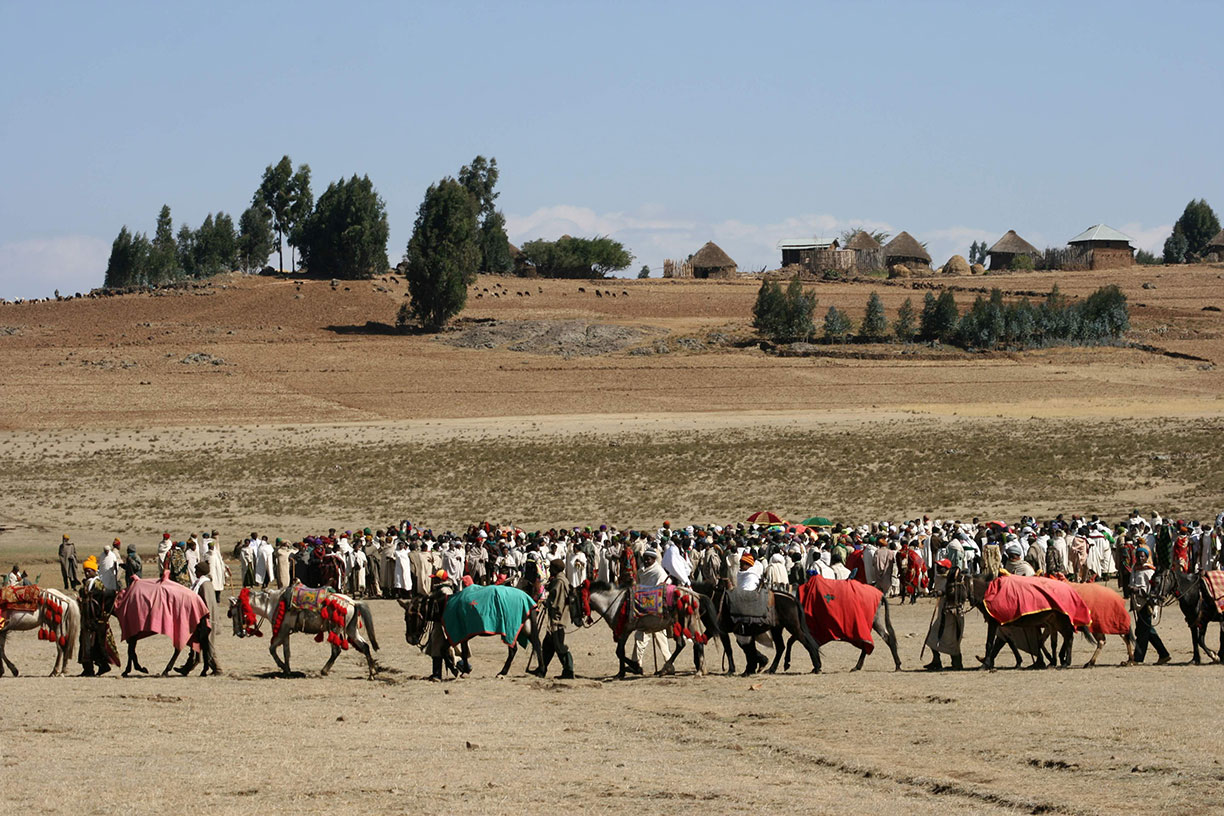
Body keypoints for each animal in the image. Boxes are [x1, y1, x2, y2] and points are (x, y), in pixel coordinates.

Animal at [230, 585, 380, 679]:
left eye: (232, 613)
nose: (239, 633)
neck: (272, 603)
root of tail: (353, 602)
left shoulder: (282, 631)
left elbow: (272, 649)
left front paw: (283, 667)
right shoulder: (286, 632)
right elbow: (286, 652)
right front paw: (287, 670)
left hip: (335, 630)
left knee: (336, 650)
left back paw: (324, 671)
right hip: (351, 629)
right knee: (365, 646)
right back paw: (371, 673)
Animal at [399, 583, 542, 678]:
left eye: (410, 618)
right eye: (405, 618)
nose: (409, 639)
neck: (446, 606)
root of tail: (528, 599)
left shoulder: (457, 633)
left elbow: (446, 649)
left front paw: (456, 670)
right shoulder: (462, 635)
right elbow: (459, 651)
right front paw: (463, 670)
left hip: (511, 630)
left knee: (514, 650)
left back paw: (503, 673)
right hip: (524, 628)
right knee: (536, 644)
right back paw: (541, 670)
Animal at [587, 581, 716, 679]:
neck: (616, 603)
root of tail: (695, 595)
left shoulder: (625, 631)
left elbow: (619, 651)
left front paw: (636, 668)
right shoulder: (622, 632)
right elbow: (621, 651)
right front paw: (621, 673)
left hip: (688, 623)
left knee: (697, 642)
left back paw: (698, 672)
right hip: (679, 624)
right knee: (682, 644)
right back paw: (664, 669)